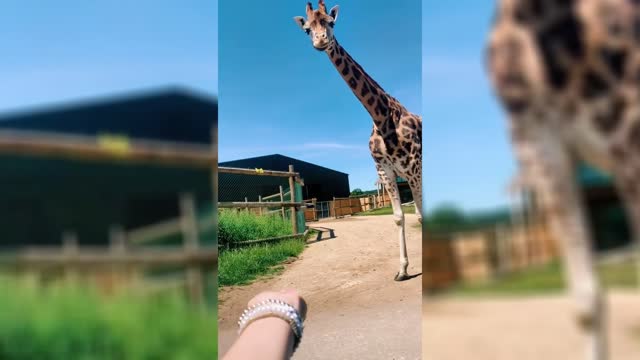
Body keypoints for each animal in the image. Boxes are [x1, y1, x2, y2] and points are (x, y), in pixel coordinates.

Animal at [292, 0, 422, 282]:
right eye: (307, 29)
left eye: (331, 22)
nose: (320, 41)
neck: (382, 116)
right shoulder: (385, 170)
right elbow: (400, 216)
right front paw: (402, 270)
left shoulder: (414, 167)